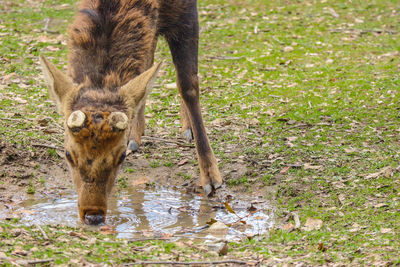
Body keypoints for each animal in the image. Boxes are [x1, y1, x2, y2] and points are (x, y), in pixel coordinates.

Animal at [38, 0, 222, 226]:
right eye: (67, 154)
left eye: (121, 156)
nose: (93, 215)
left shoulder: (187, 12)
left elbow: (188, 84)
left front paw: (211, 177)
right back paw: (137, 134)